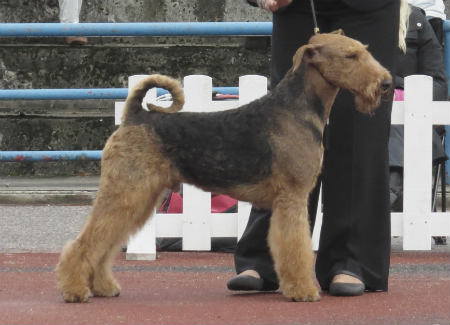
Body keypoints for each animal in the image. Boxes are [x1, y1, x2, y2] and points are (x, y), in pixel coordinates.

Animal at [56, 30, 392, 302]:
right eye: (351, 56)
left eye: (363, 50)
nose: (386, 83)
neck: (296, 109)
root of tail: (135, 116)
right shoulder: (292, 198)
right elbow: (295, 248)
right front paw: (303, 291)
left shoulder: (289, 199)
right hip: (127, 190)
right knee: (86, 242)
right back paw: (75, 290)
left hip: (138, 197)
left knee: (107, 242)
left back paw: (102, 286)